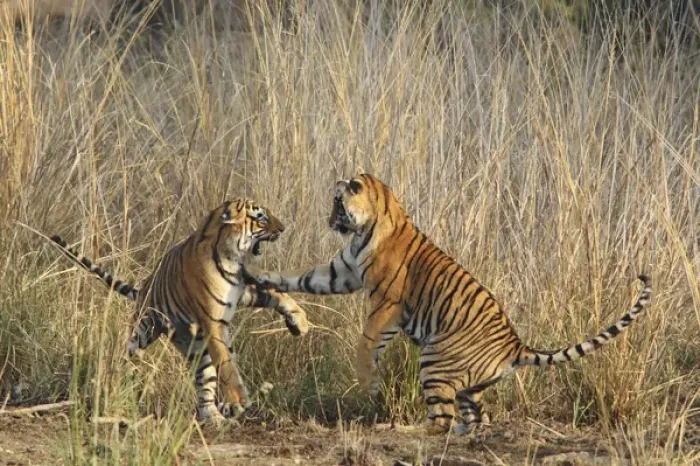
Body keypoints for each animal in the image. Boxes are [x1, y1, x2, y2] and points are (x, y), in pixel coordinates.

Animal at [50, 198, 309, 425]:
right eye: (261, 217)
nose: (283, 228)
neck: (232, 256)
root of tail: (143, 289)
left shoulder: (244, 290)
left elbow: (279, 295)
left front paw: (300, 322)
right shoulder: (213, 321)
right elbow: (227, 365)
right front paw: (237, 400)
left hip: (198, 351)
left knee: (204, 385)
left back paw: (215, 419)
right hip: (144, 329)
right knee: (128, 351)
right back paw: (111, 376)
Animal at [241, 173, 652, 435]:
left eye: (336, 203)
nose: (329, 220)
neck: (367, 226)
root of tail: (516, 346)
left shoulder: (384, 302)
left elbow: (367, 341)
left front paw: (367, 382)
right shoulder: (341, 271)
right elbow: (303, 277)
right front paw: (261, 275)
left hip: (434, 360)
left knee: (439, 421)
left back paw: (399, 427)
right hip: (468, 384)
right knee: (473, 418)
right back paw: (460, 432)